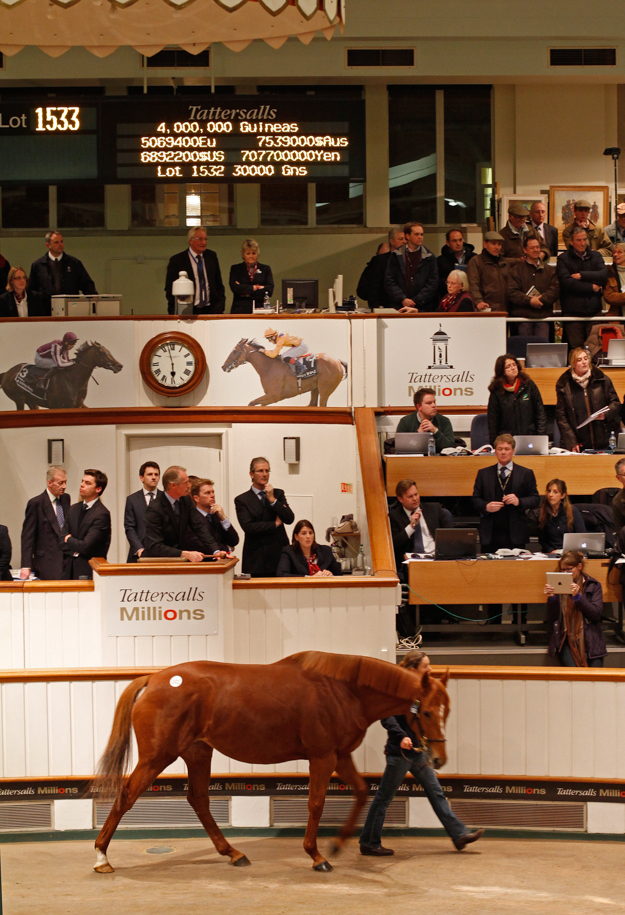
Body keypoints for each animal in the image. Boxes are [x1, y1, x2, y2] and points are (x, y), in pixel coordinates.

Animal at [92, 652, 446, 872]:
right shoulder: (322, 757)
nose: (438, 759)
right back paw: (101, 857)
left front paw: (336, 845)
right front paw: (317, 855)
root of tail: (153, 680)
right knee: (126, 796)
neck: (343, 691)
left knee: (199, 800)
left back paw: (234, 853)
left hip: (197, 752)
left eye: (448, 709)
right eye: (428, 712)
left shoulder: (340, 755)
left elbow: (360, 792)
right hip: (158, 757)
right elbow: (316, 803)